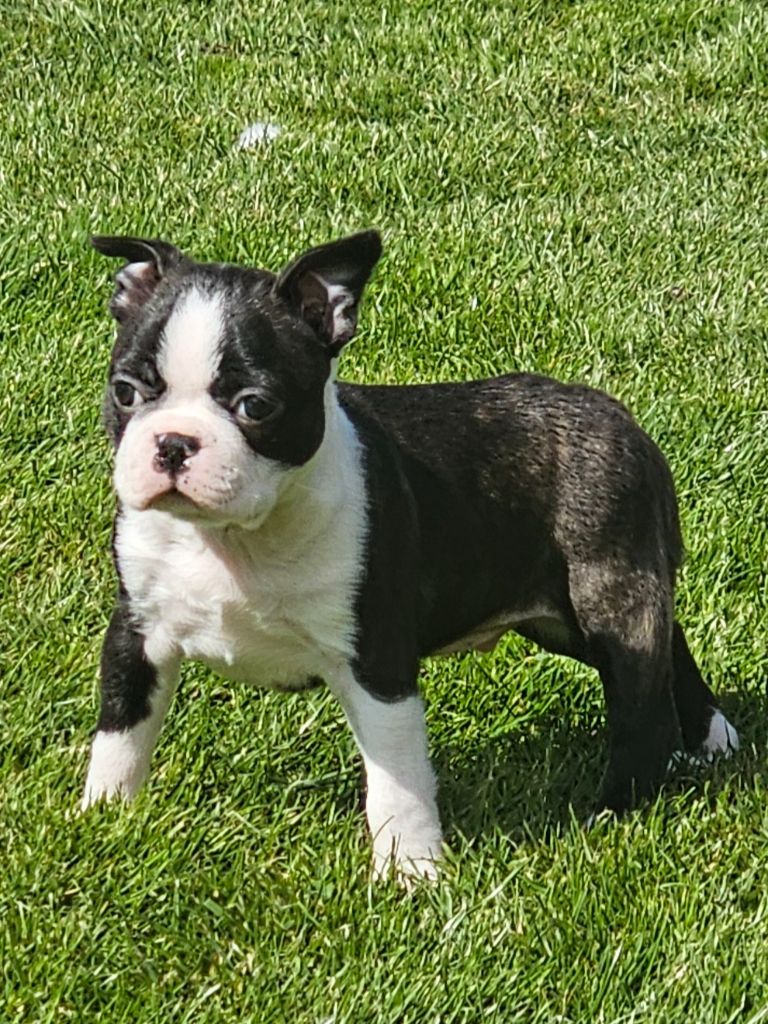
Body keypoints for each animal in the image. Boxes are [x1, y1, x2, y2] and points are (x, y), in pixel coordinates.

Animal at [82, 229, 738, 879]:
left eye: (255, 406)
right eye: (125, 392)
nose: (173, 443)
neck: (232, 537)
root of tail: (621, 417)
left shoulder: (377, 660)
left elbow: (396, 781)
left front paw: (411, 870)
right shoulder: (136, 632)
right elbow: (121, 735)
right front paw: (103, 820)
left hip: (607, 586)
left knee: (639, 706)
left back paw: (614, 809)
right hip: (563, 615)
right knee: (667, 643)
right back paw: (713, 735)